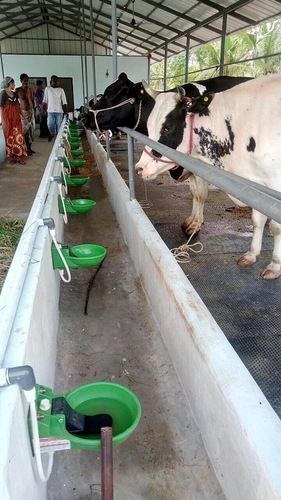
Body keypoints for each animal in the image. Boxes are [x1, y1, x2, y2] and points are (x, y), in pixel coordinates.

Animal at [135, 74, 280, 280]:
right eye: (148, 126)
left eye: (167, 128)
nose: (140, 168)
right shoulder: (256, 183)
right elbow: (257, 219)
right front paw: (251, 254)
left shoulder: (275, 183)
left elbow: (276, 227)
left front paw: (275, 265)